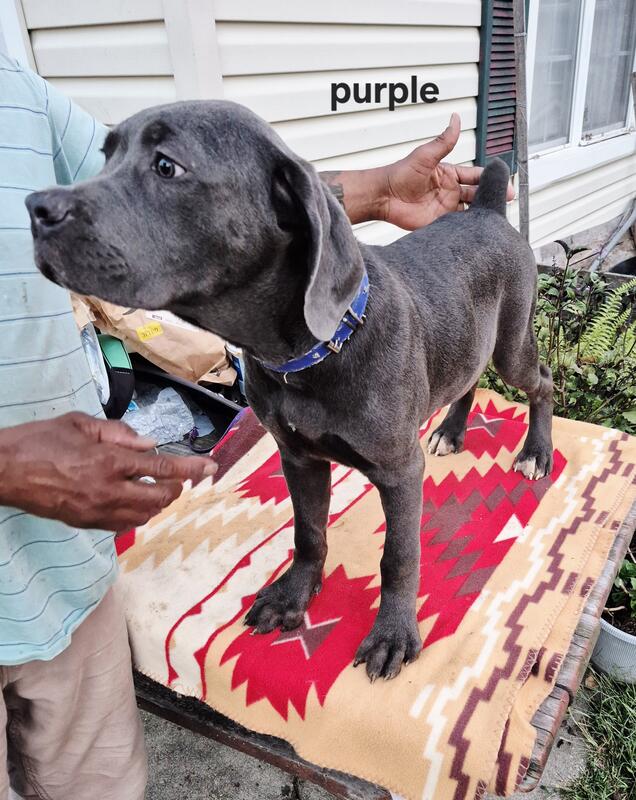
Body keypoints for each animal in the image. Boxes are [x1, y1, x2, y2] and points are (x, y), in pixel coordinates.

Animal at [26, 100, 553, 681]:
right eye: (107, 156)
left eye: (167, 166)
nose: (35, 208)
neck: (312, 353)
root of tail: (486, 211)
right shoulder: (298, 456)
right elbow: (308, 532)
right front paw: (293, 597)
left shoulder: (399, 469)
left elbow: (398, 555)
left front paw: (393, 633)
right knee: (468, 379)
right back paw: (453, 431)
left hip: (511, 343)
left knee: (542, 384)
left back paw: (536, 452)